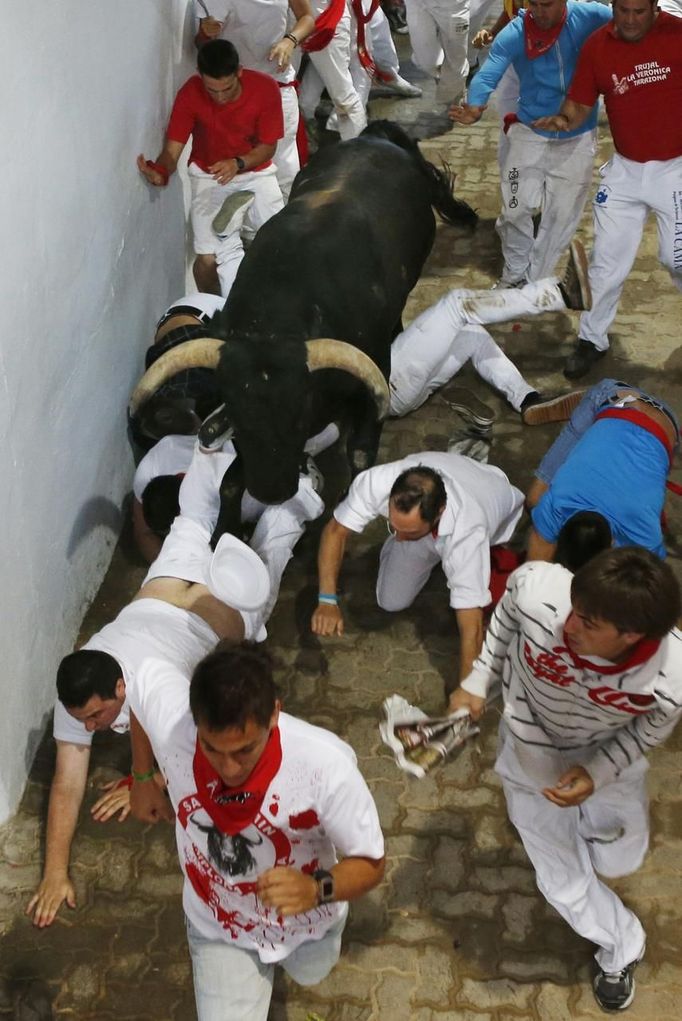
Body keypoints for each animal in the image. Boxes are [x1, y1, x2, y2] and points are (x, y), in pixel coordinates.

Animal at [130, 119, 477, 535]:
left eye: (299, 412)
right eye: (237, 415)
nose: (272, 490)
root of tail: (373, 137)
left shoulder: (370, 385)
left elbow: (359, 457)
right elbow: (229, 483)